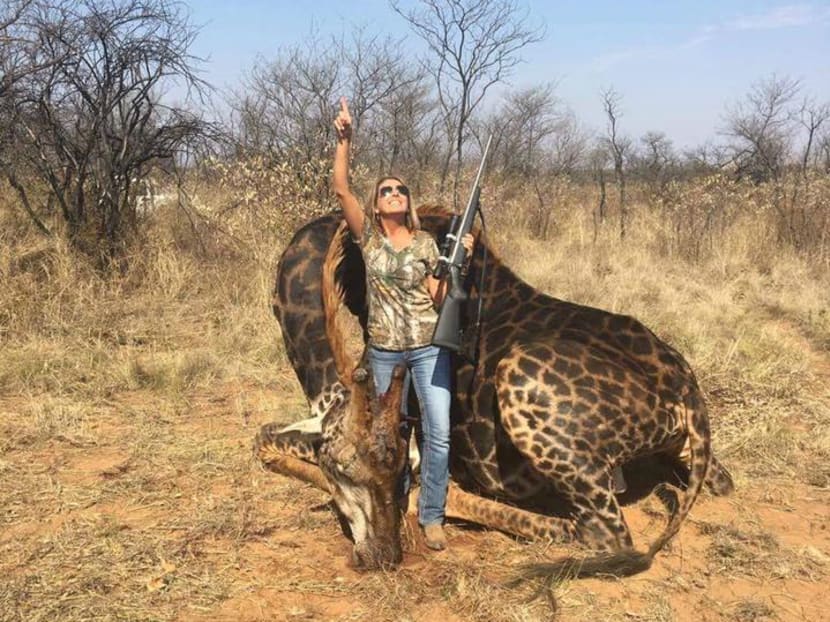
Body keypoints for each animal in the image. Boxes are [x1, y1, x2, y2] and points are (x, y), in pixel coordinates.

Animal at [256, 206, 735, 578]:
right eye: (344, 468)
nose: (382, 555)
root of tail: (685, 392)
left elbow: (264, 439)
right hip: (688, 451)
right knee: (721, 481)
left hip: (518, 376)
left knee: (602, 532)